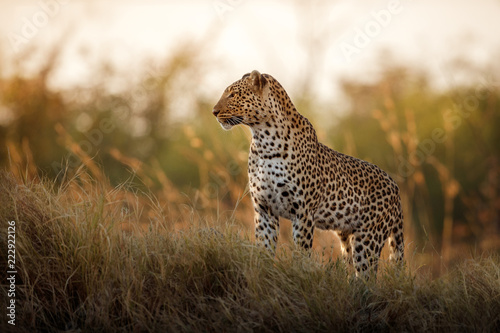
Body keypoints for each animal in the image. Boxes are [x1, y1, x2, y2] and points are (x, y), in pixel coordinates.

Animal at [213, 69, 404, 274]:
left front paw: (298, 273)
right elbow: (264, 250)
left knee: (367, 275)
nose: (214, 112)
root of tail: (395, 186)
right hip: (347, 237)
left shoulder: (303, 212)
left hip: (368, 238)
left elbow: (301, 253)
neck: (264, 140)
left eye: (233, 94)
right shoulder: (264, 210)